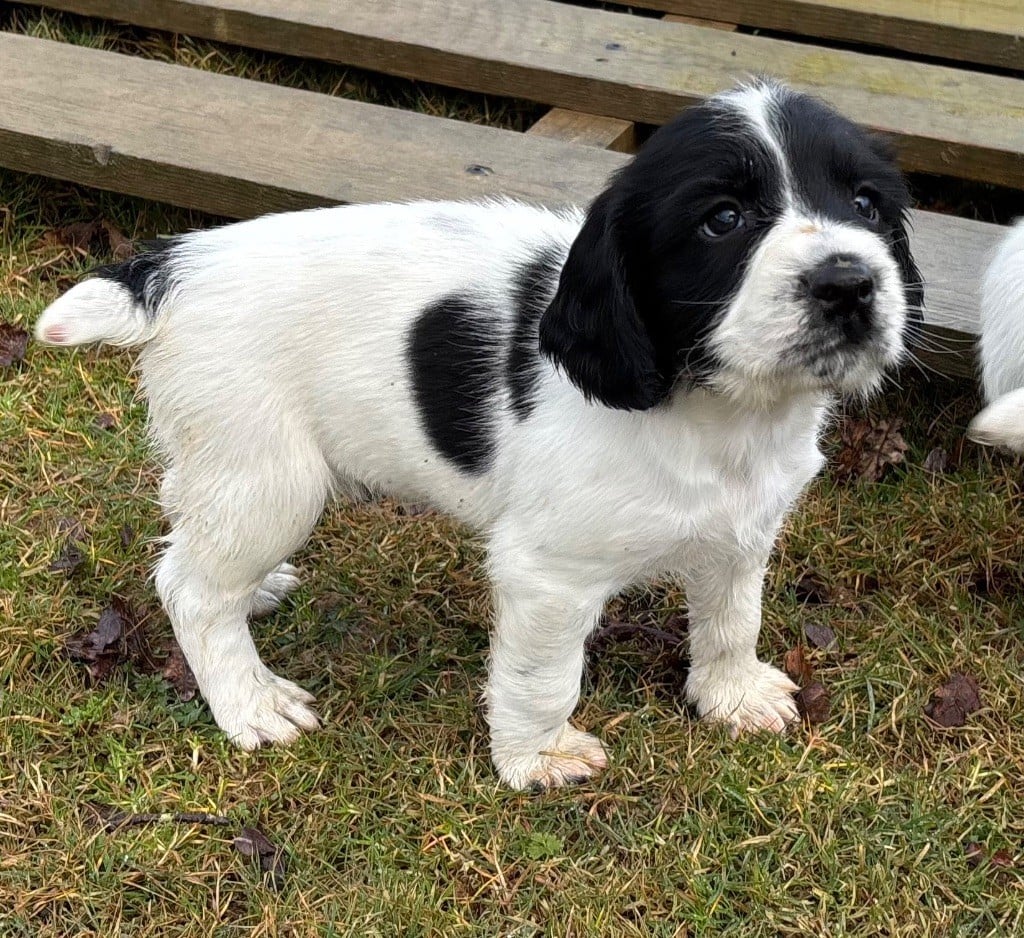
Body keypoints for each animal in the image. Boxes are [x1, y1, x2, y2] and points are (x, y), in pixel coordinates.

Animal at [37, 80, 921, 786]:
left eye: (866, 205)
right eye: (724, 219)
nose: (849, 284)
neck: (720, 412)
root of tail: (172, 266)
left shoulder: (744, 530)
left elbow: (734, 618)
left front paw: (731, 695)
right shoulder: (548, 573)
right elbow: (543, 675)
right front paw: (536, 760)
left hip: (223, 466)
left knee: (190, 545)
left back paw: (256, 591)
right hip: (270, 477)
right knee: (190, 587)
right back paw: (249, 702)